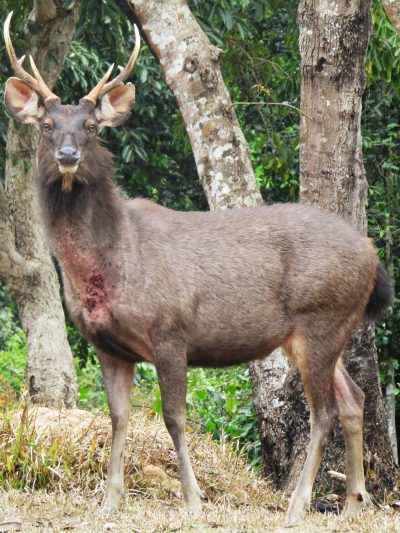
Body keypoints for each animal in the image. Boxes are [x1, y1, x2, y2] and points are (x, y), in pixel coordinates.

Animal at [2, 10, 390, 520]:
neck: (105, 266)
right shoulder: (108, 345)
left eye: (91, 126)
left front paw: (192, 498)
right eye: (47, 124)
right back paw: (353, 503)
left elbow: (174, 417)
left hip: (322, 316)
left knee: (322, 411)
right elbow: (118, 417)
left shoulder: (170, 332)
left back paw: (299, 504)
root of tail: (371, 253)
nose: (68, 155)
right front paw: (108, 501)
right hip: (321, 329)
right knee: (353, 398)